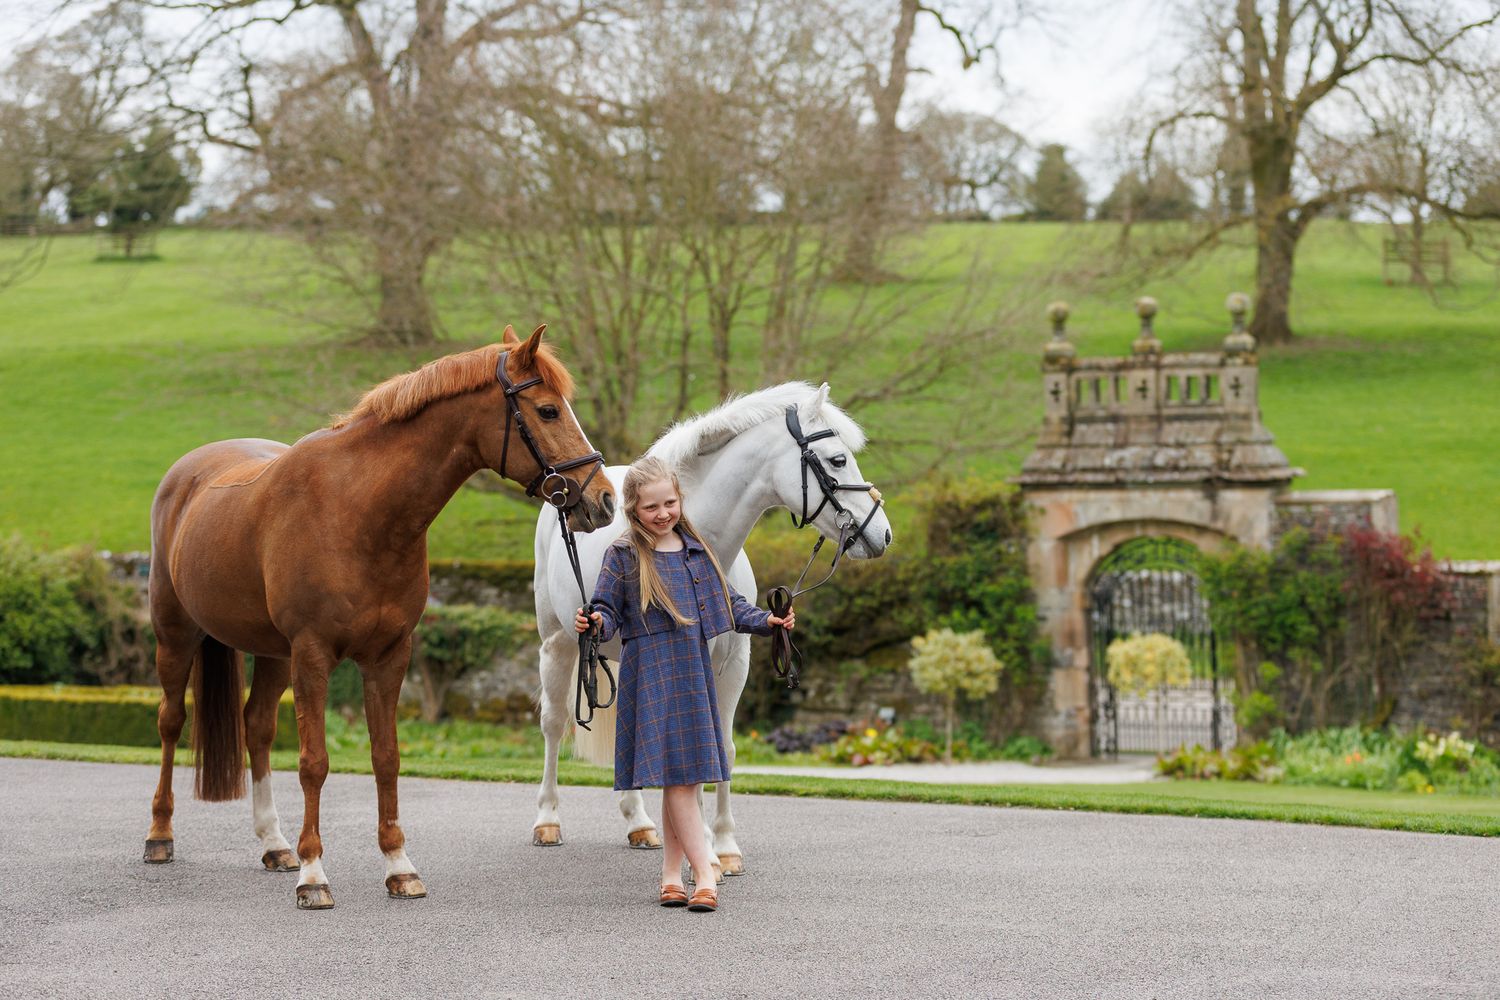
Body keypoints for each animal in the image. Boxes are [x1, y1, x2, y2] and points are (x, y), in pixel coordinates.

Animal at [143, 325, 615, 910]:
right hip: (177, 637)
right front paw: (314, 875)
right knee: (170, 723)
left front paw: (398, 866)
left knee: (257, 728)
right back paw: (160, 836)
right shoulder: (313, 655)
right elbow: (314, 762)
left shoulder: (389, 655)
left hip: (273, 654)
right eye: (548, 410)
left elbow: (386, 757)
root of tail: (185, 475)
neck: (358, 510)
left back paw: (275, 844)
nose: (604, 500)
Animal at [531, 382, 891, 875]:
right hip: (560, 643)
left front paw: (724, 847)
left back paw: (640, 824)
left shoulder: (734, 664)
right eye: (838, 460)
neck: (698, 546)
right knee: (552, 724)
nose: (882, 534)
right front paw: (700, 848)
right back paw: (548, 822)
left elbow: (724, 749)